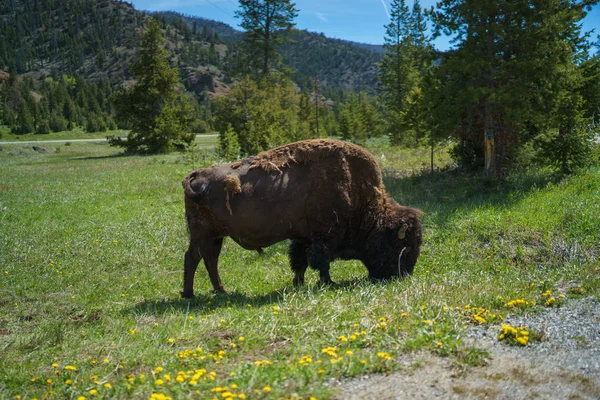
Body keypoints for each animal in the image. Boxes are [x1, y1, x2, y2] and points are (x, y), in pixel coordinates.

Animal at [182, 138, 422, 296]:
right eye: (403, 245)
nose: (404, 273)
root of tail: (196, 175)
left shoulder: (303, 238)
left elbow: (300, 261)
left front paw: (298, 283)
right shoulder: (323, 237)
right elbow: (320, 261)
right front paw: (328, 283)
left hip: (216, 236)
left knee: (210, 259)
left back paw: (221, 290)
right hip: (203, 235)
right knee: (194, 258)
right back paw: (190, 294)